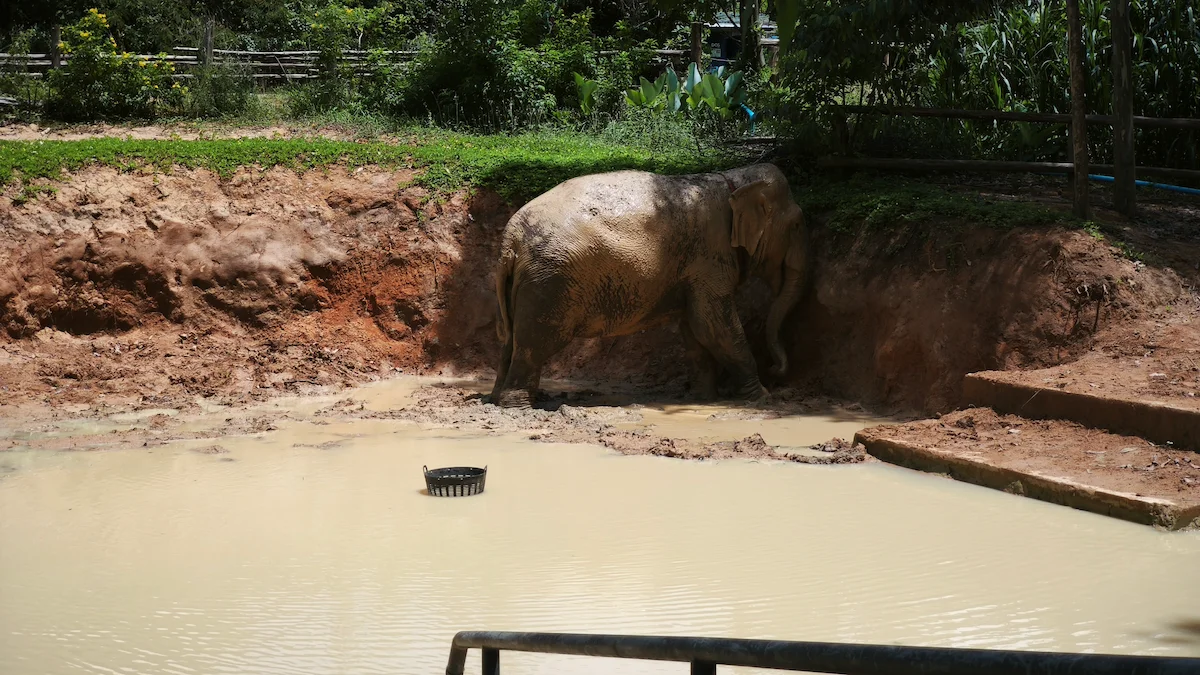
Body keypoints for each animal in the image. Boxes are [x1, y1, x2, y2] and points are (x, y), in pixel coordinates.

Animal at [489, 163, 809, 408]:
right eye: (797, 225)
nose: (776, 370)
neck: (733, 180)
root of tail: (511, 236)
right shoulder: (709, 256)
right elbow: (714, 324)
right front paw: (762, 398)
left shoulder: (694, 269)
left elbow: (695, 329)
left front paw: (705, 399)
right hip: (550, 280)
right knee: (535, 342)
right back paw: (519, 406)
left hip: (526, 282)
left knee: (511, 339)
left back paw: (496, 399)